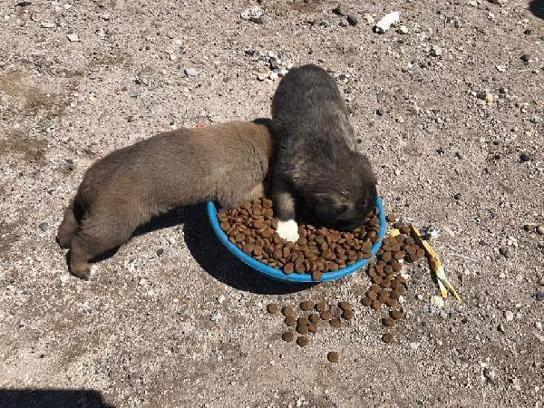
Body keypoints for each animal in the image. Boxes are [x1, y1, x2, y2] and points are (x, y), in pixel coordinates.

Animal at [57, 119, 274, 278]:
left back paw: (63, 238)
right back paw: (84, 270)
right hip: (112, 226)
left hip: (87, 210)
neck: (262, 139)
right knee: (81, 244)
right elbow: (248, 192)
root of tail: (89, 184)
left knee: (70, 216)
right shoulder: (238, 183)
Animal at [270, 65, 376, 241]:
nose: (355, 228)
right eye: (348, 219)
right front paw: (288, 229)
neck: (328, 155)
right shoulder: (281, 177)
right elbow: (285, 203)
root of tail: (307, 66)